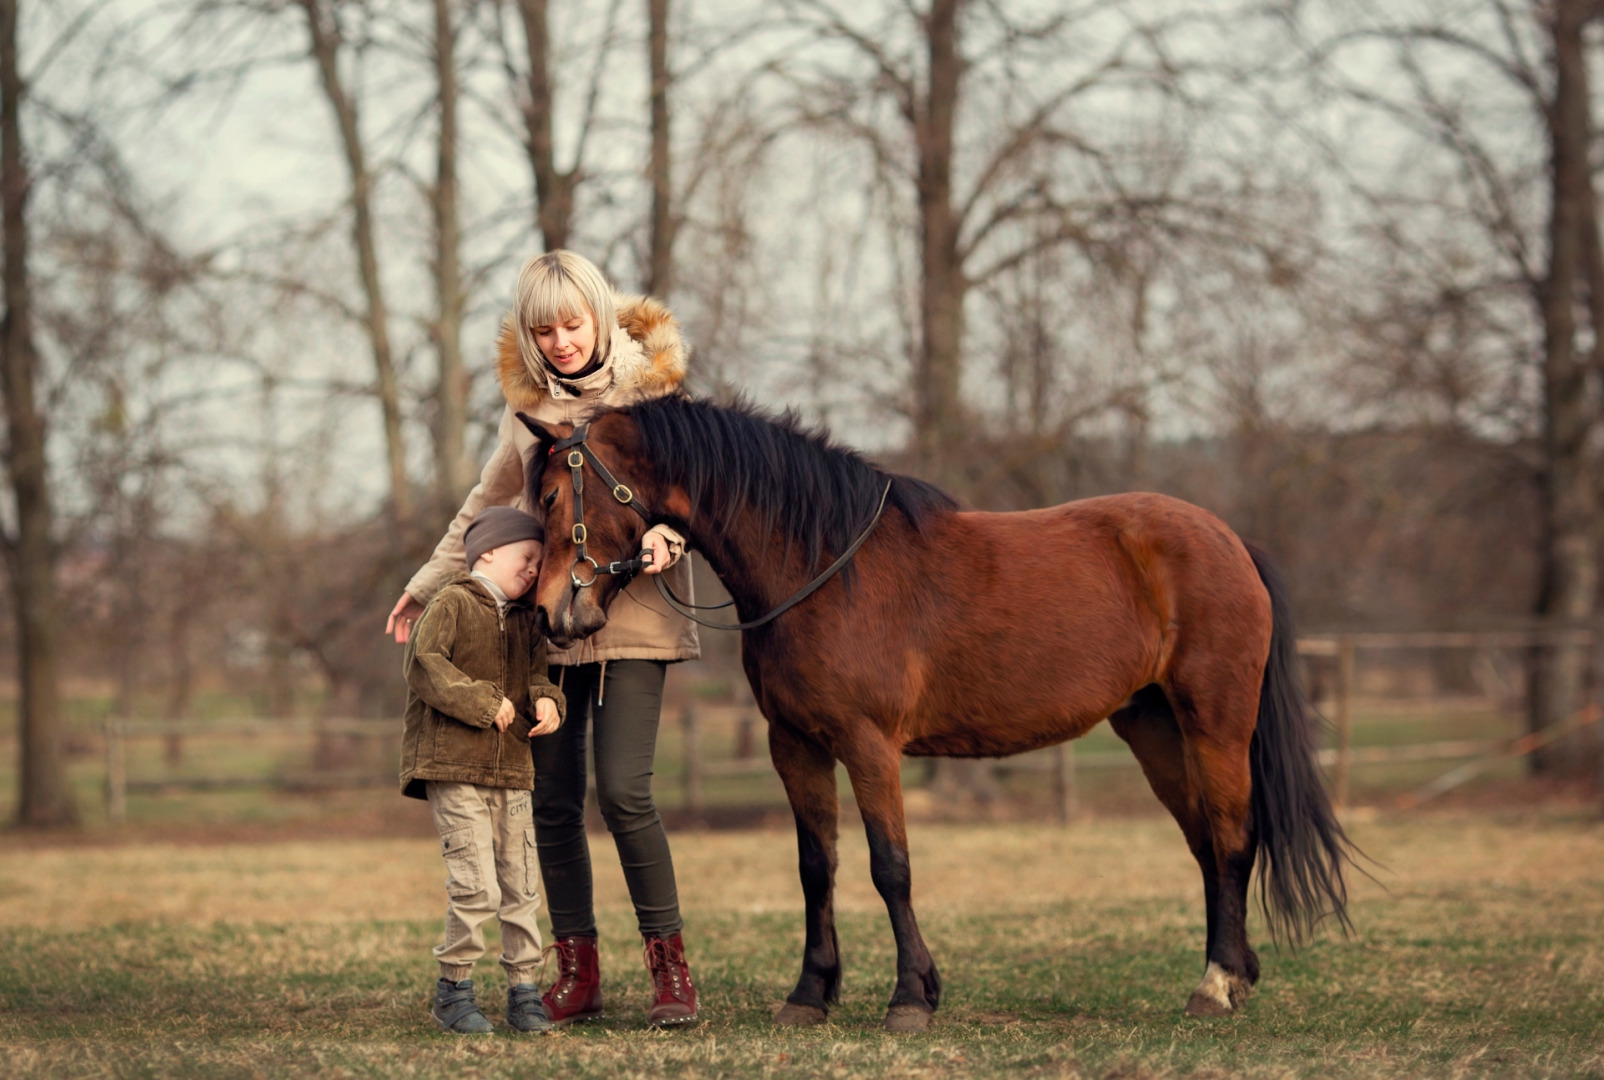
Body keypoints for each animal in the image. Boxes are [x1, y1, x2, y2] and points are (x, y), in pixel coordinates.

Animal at [516, 393, 1353, 1027]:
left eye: (554, 497)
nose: (550, 612)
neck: (821, 567)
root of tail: (1230, 541)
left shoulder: (869, 745)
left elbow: (891, 868)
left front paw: (911, 997)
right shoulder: (795, 744)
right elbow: (816, 866)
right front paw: (811, 993)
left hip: (1214, 724)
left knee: (1234, 839)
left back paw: (1217, 983)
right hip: (1154, 729)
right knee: (1207, 845)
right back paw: (1234, 972)